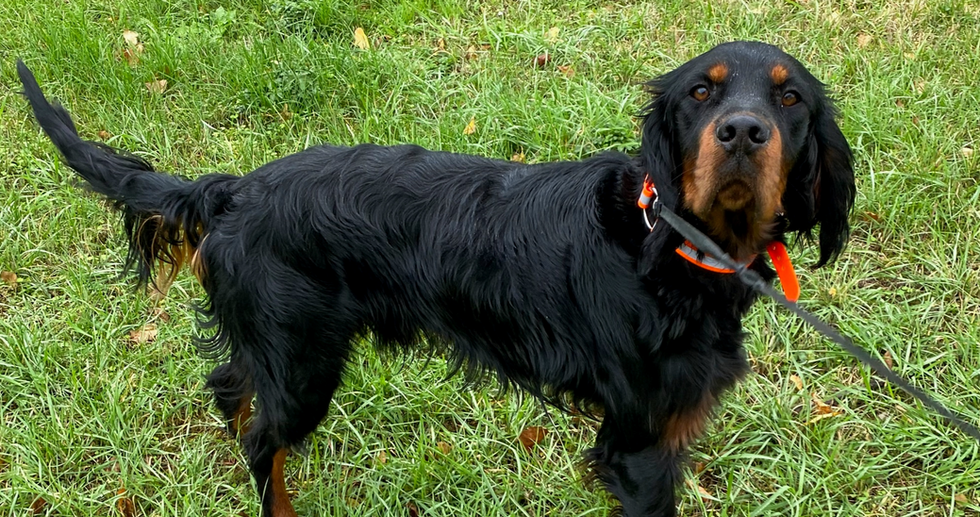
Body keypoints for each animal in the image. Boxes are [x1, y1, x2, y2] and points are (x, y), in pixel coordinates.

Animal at [19, 41, 852, 516]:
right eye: (702, 92)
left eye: (789, 97)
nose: (741, 132)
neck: (670, 243)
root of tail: (236, 190)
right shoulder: (639, 446)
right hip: (307, 363)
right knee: (262, 443)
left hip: (280, 350)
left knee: (231, 387)